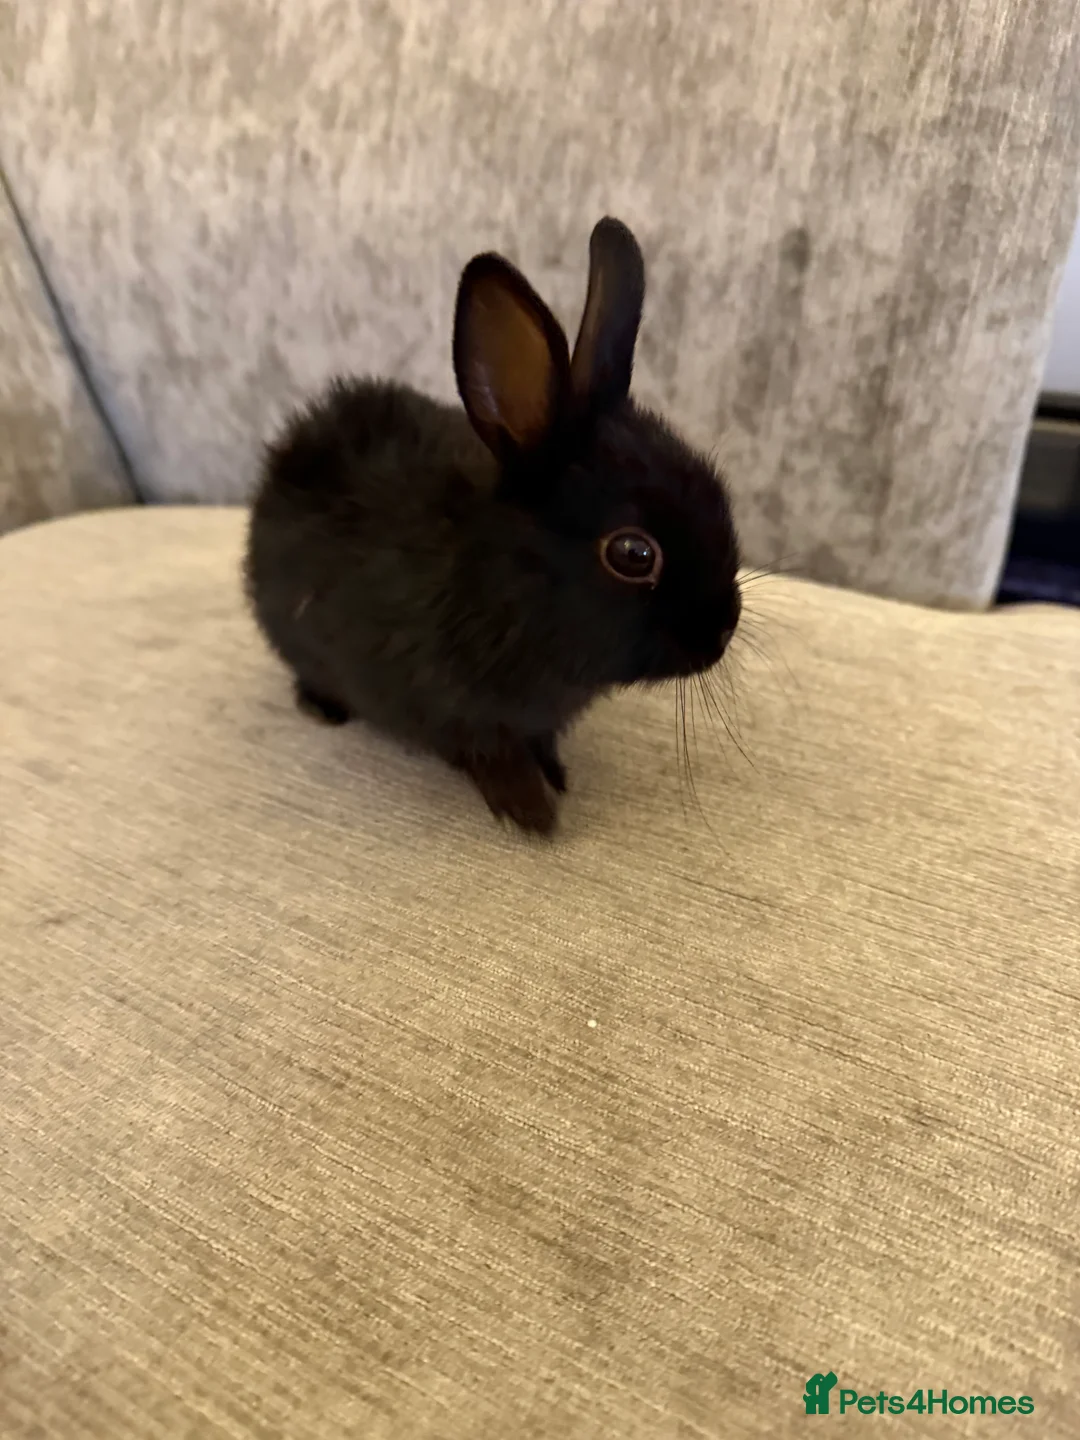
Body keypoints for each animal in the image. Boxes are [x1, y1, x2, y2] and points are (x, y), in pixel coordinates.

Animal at [245, 217, 741, 835]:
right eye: (634, 554)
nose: (723, 632)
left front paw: (556, 777)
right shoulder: (458, 719)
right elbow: (492, 759)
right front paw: (533, 813)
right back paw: (321, 708)